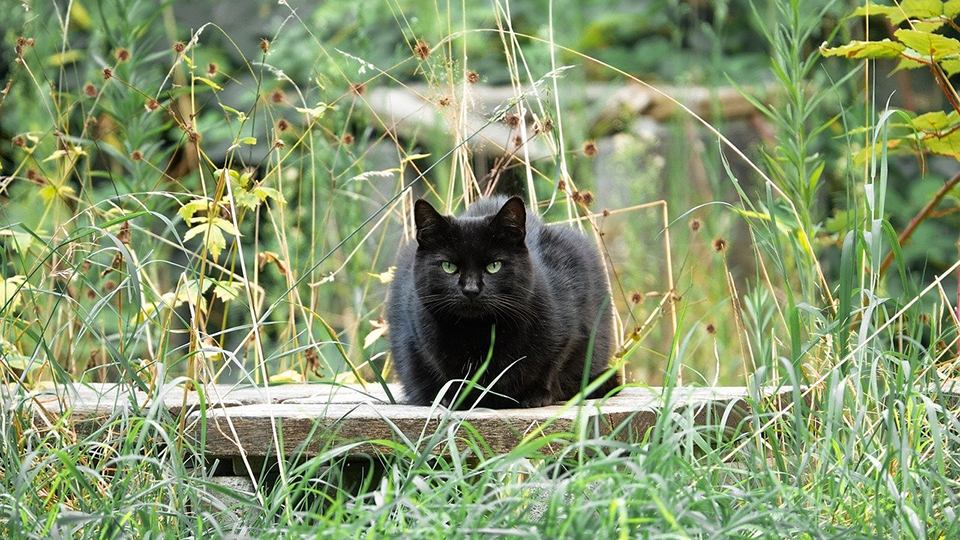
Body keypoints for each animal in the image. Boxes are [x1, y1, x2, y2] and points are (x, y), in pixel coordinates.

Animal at [386, 196, 620, 408]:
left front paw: (536, 395)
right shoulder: (419, 337)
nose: (471, 289)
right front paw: (455, 398)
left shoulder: (573, 328)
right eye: (448, 266)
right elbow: (447, 374)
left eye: (494, 266)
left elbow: (553, 364)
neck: (479, 332)